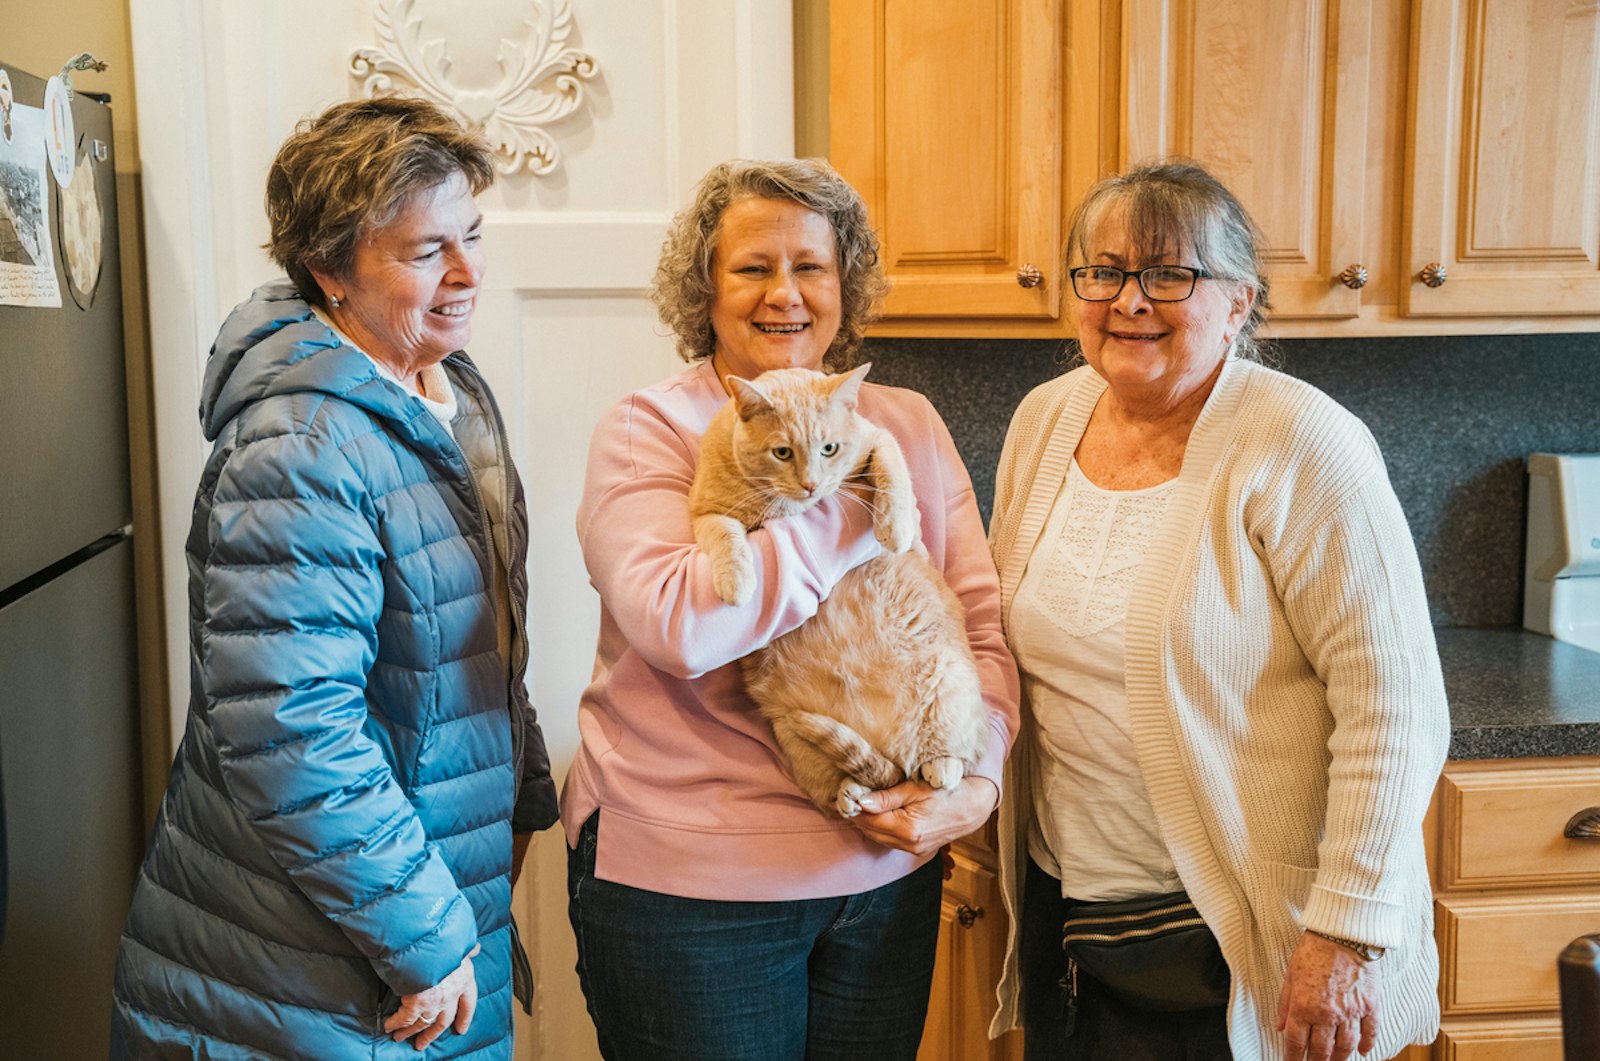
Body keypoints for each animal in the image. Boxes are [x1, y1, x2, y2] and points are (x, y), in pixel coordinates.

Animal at [694, 364, 992, 819]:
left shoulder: (877, 438)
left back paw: (940, 766)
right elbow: (725, 536)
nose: (811, 485)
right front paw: (737, 581)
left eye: (829, 449)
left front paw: (896, 525)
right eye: (783, 453)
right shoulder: (706, 513)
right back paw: (852, 793)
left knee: (957, 758)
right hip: (796, 737)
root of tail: (892, 751)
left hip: (950, 685)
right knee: (863, 777)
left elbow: (892, 470)